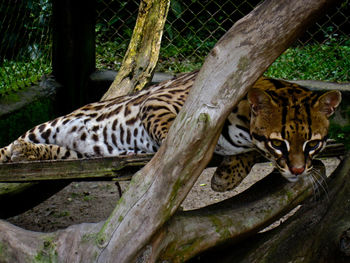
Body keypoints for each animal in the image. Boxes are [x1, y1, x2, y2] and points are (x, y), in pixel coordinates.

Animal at [0, 71, 340, 192]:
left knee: (54, 151)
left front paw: (225, 178)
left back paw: (28, 153)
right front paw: (175, 152)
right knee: (12, 143)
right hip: (52, 124)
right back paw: (15, 150)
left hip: (79, 153)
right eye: (279, 143)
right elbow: (174, 130)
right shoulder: (158, 100)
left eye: (312, 144)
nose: (298, 171)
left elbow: (246, 155)